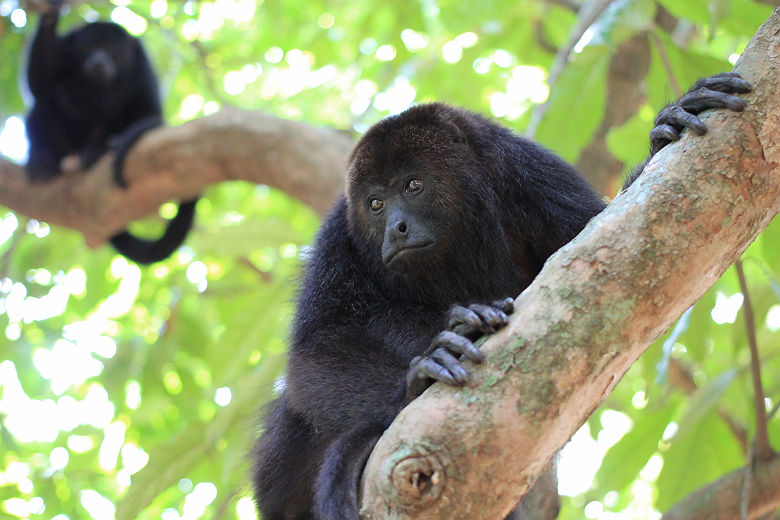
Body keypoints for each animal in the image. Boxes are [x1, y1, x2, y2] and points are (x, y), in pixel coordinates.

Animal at [24, 2, 197, 264]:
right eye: (89, 48)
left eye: (113, 50)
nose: (99, 60)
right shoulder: (67, 46)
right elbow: (40, 83)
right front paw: (51, 13)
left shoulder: (142, 66)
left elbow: (149, 112)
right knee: (45, 104)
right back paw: (42, 159)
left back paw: (95, 153)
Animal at [253, 74, 752, 520]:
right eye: (375, 204)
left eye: (413, 185)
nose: (396, 228)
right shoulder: (339, 234)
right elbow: (314, 357)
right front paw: (418, 377)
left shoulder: (525, 172)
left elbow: (609, 248)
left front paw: (666, 130)